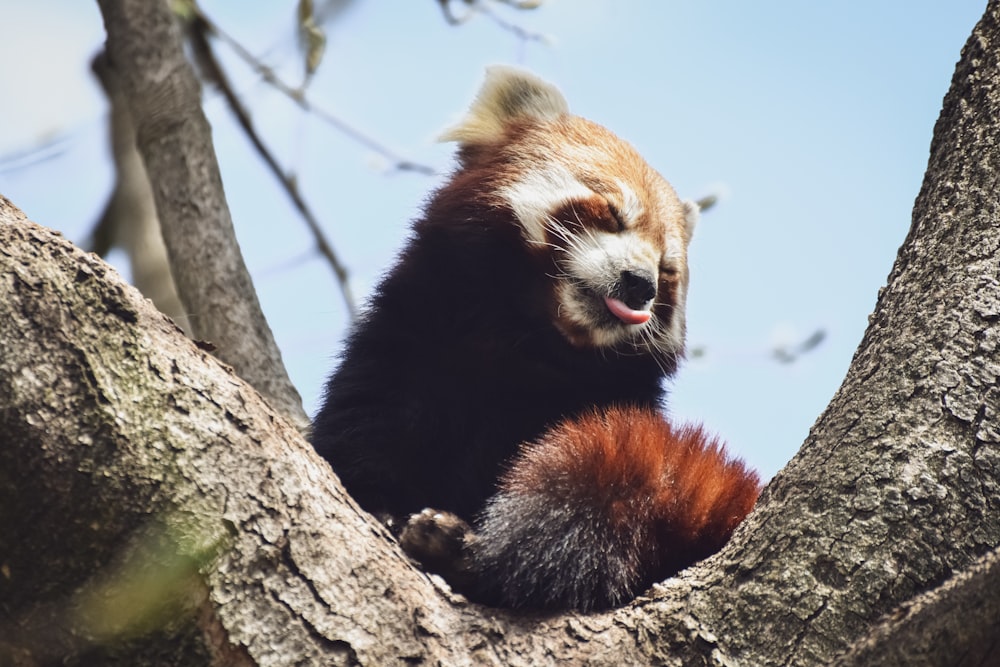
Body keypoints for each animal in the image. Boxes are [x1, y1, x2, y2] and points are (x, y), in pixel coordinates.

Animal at [308, 66, 760, 612]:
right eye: (611, 213)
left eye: (667, 267)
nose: (641, 284)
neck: (527, 340)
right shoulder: (409, 341)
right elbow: (365, 429)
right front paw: (380, 501)